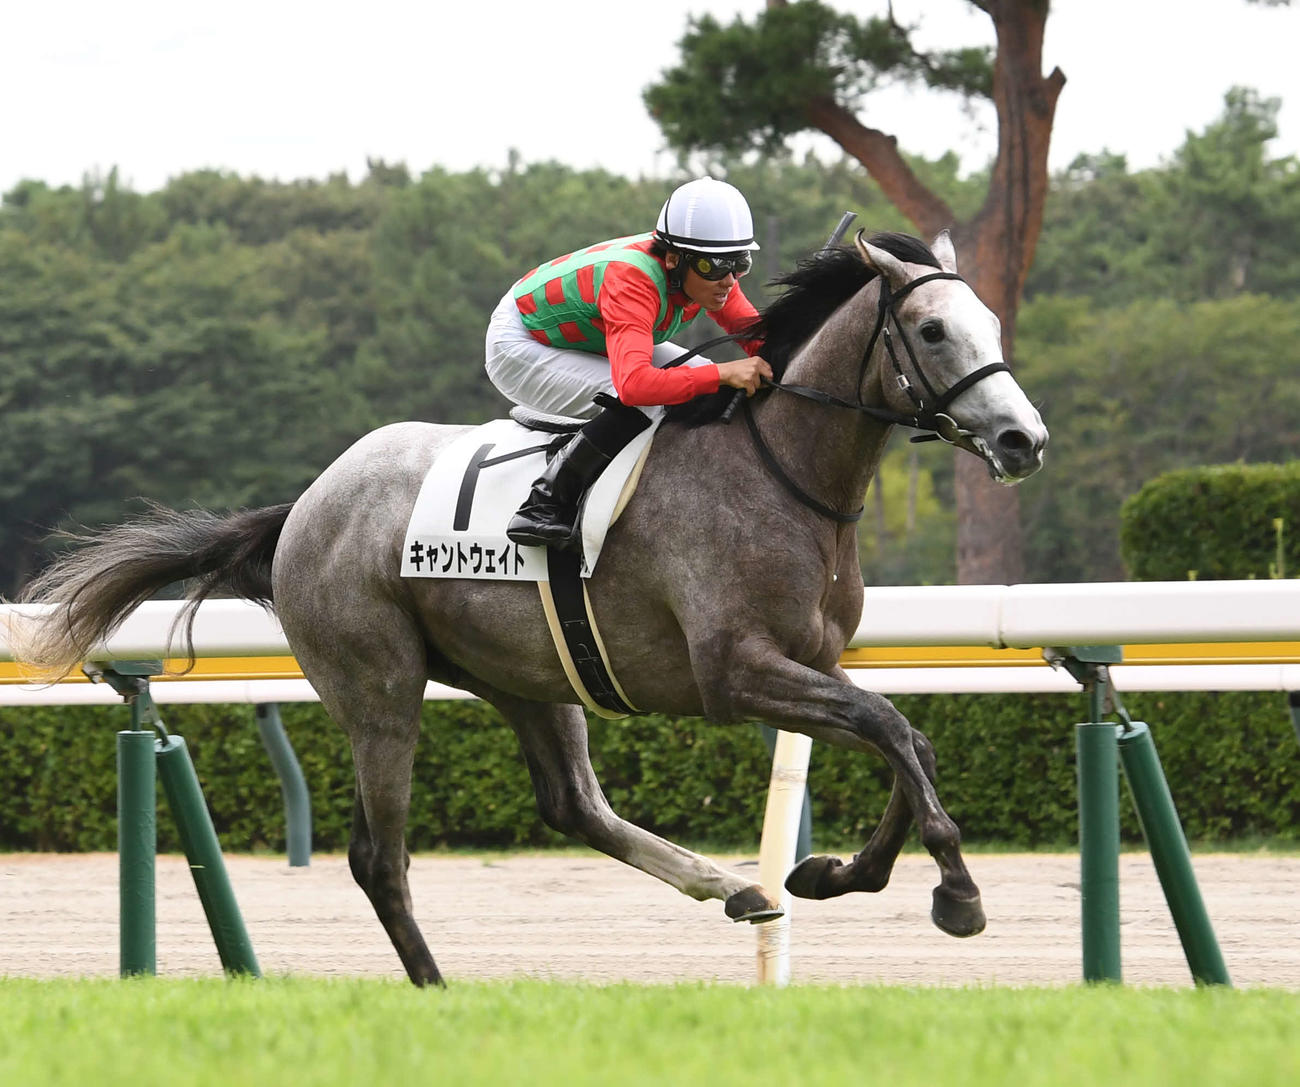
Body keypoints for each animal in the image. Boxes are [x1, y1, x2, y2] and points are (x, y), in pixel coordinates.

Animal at [11, 229, 1047, 987]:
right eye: (933, 332)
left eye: (992, 322)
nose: (1021, 438)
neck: (782, 469)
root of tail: (305, 503)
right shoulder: (737, 672)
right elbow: (891, 730)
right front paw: (954, 892)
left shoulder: (814, 663)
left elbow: (905, 739)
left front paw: (833, 872)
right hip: (379, 689)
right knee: (378, 856)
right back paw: (436, 986)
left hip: (528, 673)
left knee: (573, 803)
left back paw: (733, 888)